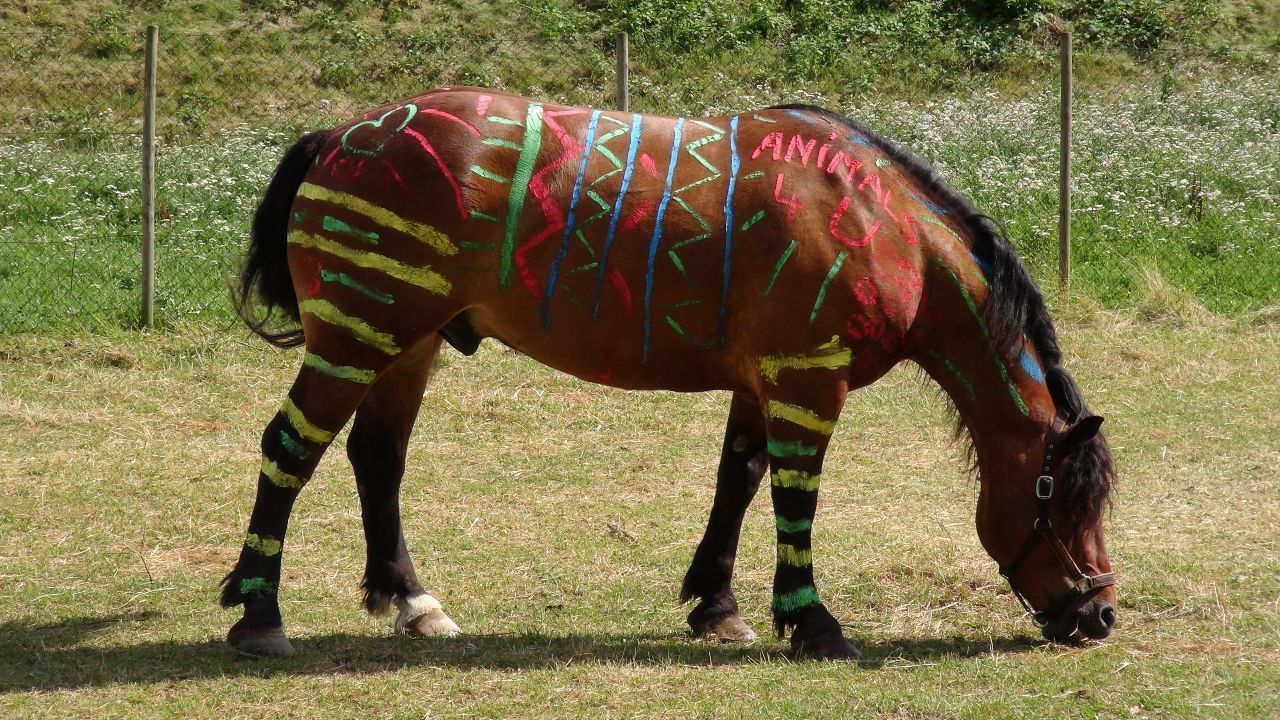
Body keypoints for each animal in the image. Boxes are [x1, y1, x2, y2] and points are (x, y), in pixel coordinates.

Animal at [225, 87, 1116, 661]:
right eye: (1066, 501)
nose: (1102, 615)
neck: (884, 230)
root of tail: (342, 133)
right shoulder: (807, 378)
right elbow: (796, 495)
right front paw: (812, 622)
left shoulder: (764, 380)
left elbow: (739, 481)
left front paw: (717, 607)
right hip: (358, 333)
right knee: (289, 449)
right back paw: (259, 614)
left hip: (404, 342)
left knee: (376, 457)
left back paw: (413, 603)